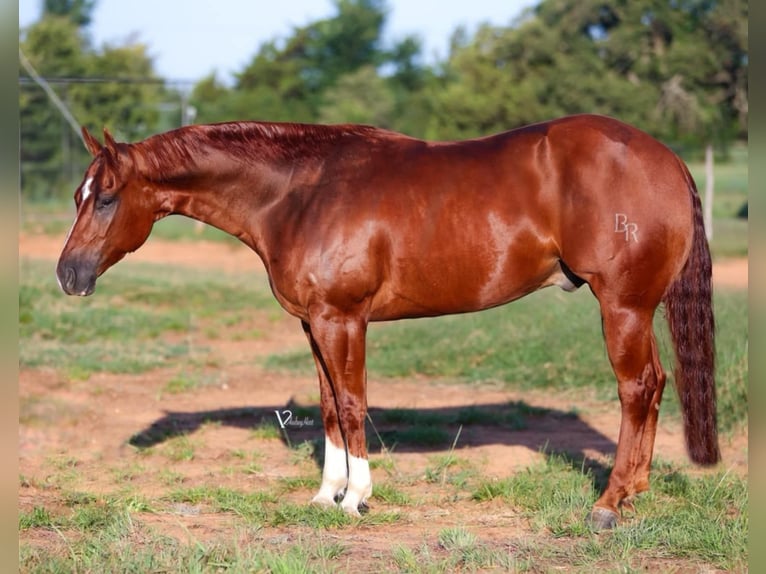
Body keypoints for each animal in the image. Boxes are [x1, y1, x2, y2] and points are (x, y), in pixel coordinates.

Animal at [58, 115, 720, 532]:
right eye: (78, 196)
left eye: (108, 197)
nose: (68, 274)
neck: (299, 192)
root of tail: (666, 158)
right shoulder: (314, 324)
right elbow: (329, 407)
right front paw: (324, 495)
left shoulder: (343, 320)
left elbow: (353, 405)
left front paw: (356, 498)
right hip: (635, 310)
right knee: (655, 386)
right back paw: (633, 494)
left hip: (623, 307)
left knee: (637, 389)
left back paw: (608, 504)